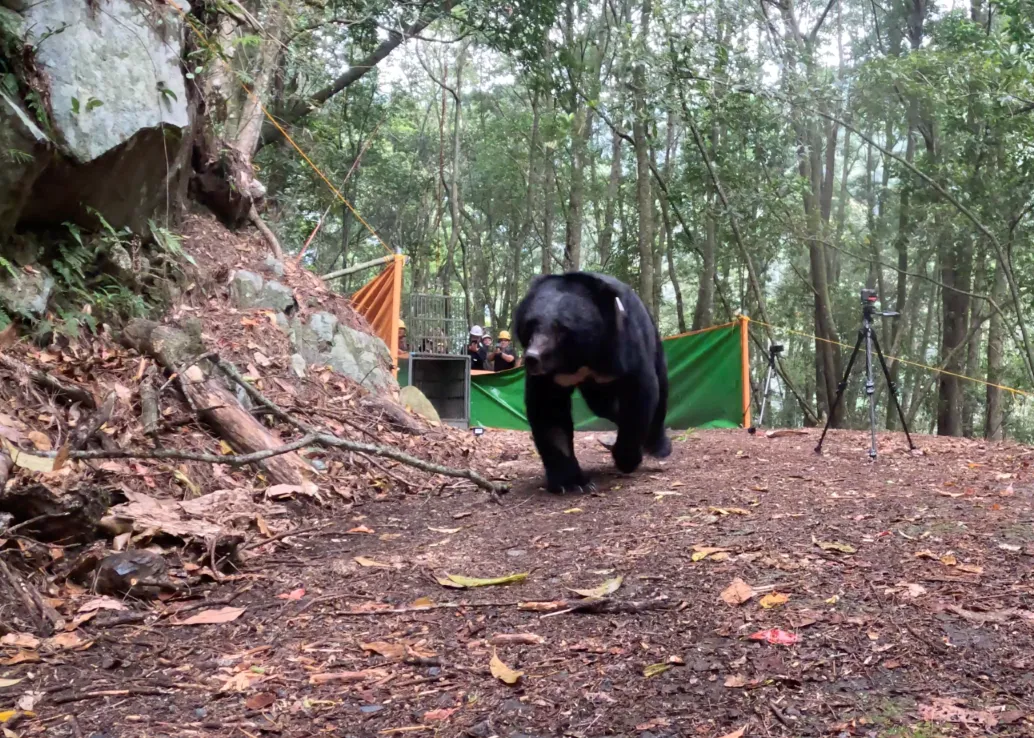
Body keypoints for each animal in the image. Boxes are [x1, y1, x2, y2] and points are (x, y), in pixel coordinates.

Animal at [513, 271, 671, 493]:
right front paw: (572, 482)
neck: (580, 360)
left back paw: (658, 447)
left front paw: (626, 459)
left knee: (661, 391)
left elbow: (640, 394)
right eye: (530, 325)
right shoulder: (549, 377)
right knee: (603, 406)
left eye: (562, 328)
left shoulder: (625, 349)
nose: (532, 358)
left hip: (653, 342)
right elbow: (548, 409)